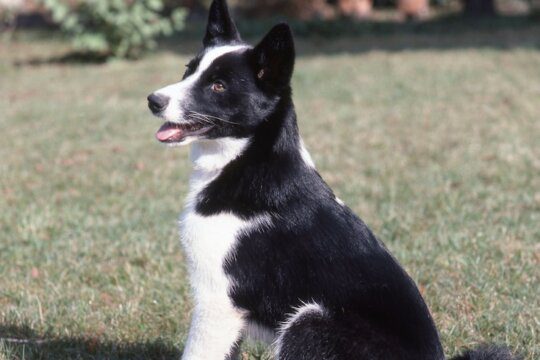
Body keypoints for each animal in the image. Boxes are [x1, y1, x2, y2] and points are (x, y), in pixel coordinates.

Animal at [147, 1, 520, 358]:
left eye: (218, 85)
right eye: (188, 70)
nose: (153, 100)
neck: (249, 160)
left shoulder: (218, 304)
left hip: (309, 320)